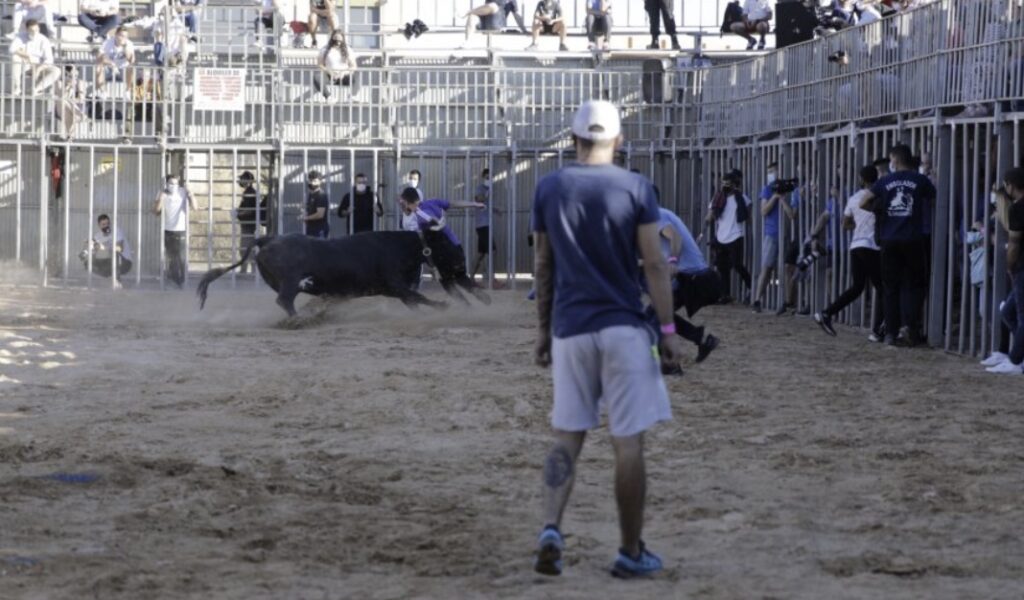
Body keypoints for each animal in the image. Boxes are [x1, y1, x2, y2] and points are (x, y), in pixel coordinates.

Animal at [197, 231, 491, 317]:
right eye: (444, 242)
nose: (461, 266)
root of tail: (268, 239)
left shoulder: (397, 290)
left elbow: (415, 300)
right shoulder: (396, 285)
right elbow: (421, 297)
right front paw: (443, 305)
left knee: (285, 300)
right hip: (290, 282)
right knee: (285, 300)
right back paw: (300, 319)